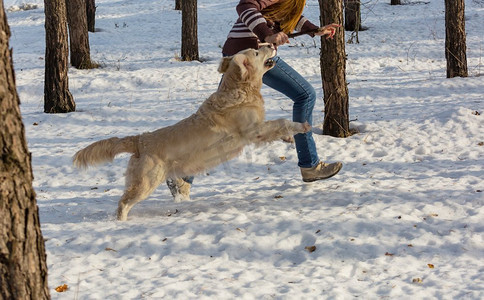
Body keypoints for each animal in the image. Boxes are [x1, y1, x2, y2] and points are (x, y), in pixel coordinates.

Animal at [74, 45, 312, 221]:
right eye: (256, 51)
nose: (271, 44)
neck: (240, 89)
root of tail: (140, 139)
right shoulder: (254, 131)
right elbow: (281, 121)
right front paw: (301, 127)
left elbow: (278, 127)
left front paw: (288, 136)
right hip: (145, 182)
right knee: (123, 202)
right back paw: (121, 222)